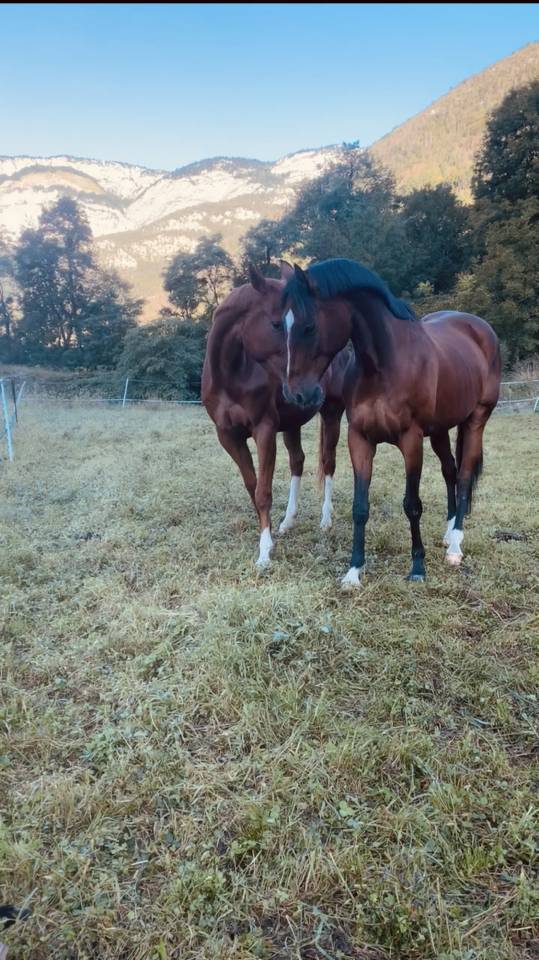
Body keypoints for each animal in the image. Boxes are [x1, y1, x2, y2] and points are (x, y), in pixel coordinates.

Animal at [201, 264, 350, 567]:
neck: (231, 374)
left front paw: (264, 552)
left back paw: (325, 520)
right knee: (298, 462)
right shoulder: (228, 436)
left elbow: (263, 492)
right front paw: (268, 533)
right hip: (292, 422)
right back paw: (287, 521)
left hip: (331, 414)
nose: (307, 390)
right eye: (276, 324)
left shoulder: (265, 430)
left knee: (328, 462)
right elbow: (252, 485)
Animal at [277, 258, 501, 586]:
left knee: (462, 478)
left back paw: (455, 547)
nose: (296, 394)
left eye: (309, 326)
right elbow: (360, 507)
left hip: (476, 421)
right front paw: (354, 570)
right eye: (280, 325)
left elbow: (412, 505)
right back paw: (448, 533)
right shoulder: (360, 439)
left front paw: (418, 567)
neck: (383, 365)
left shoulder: (411, 441)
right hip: (439, 431)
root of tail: (480, 327)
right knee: (450, 471)